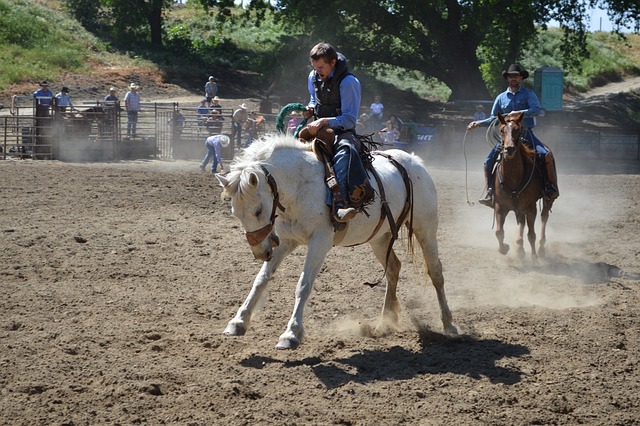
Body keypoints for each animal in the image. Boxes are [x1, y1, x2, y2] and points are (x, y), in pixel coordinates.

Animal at [218, 135, 458, 348]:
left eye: (258, 210)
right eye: (235, 212)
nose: (260, 252)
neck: (301, 186)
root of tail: (415, 162)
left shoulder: (320, 242)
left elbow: (303, 285)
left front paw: (291, 333)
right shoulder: (286, 242)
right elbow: (261, 279)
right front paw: (238, 322)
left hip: (425, 227)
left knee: (435, 271)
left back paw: (449, 324)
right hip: (380, 238)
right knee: (393, 268)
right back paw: (384, 323)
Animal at [492, 111, 552, 260]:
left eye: (517, 130)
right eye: (502, 130)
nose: (509, 149)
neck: (514, 177)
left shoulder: (531, 207)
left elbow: (531, 235)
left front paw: (534, 258)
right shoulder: (500, 206)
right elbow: (499, 231)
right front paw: (504, 248)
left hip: (547, 200)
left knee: (544, 216)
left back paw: (540, 248)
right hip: (518, 207)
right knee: (521, 221)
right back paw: (519, 247)